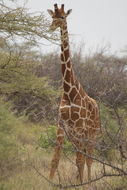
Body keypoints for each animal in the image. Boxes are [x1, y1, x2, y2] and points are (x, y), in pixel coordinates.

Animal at [47, 4, 100, 183]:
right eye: (52, 17)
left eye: (63, 17)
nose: (51, 27)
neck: (69, 93)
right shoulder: (61, 125)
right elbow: (55, 159)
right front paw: (49, 182)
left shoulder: (79, 127)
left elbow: (80, 160)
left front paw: (82, 184)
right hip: (80, 135)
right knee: (83, 156)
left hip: (92, 133)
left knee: (89, 158)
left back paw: (88, 182)